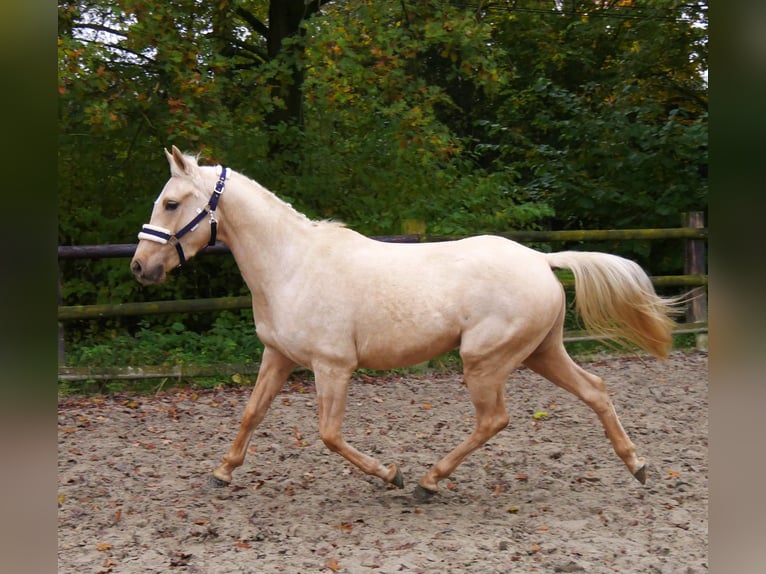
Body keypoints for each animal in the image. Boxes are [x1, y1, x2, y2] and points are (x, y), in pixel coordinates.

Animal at [130, 147, 680, 500]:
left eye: (172, 203)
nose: (140, 267)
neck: (292, 265)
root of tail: (541, 260)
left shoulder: (333, 366)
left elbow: (329, 434)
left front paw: (390, 474)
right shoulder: (279, 356)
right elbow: (251, 413)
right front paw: (220, 474)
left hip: (485, 360)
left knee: (494, 419)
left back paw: (426, 483)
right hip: (542, 352)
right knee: (595, 390)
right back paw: (638, 467)